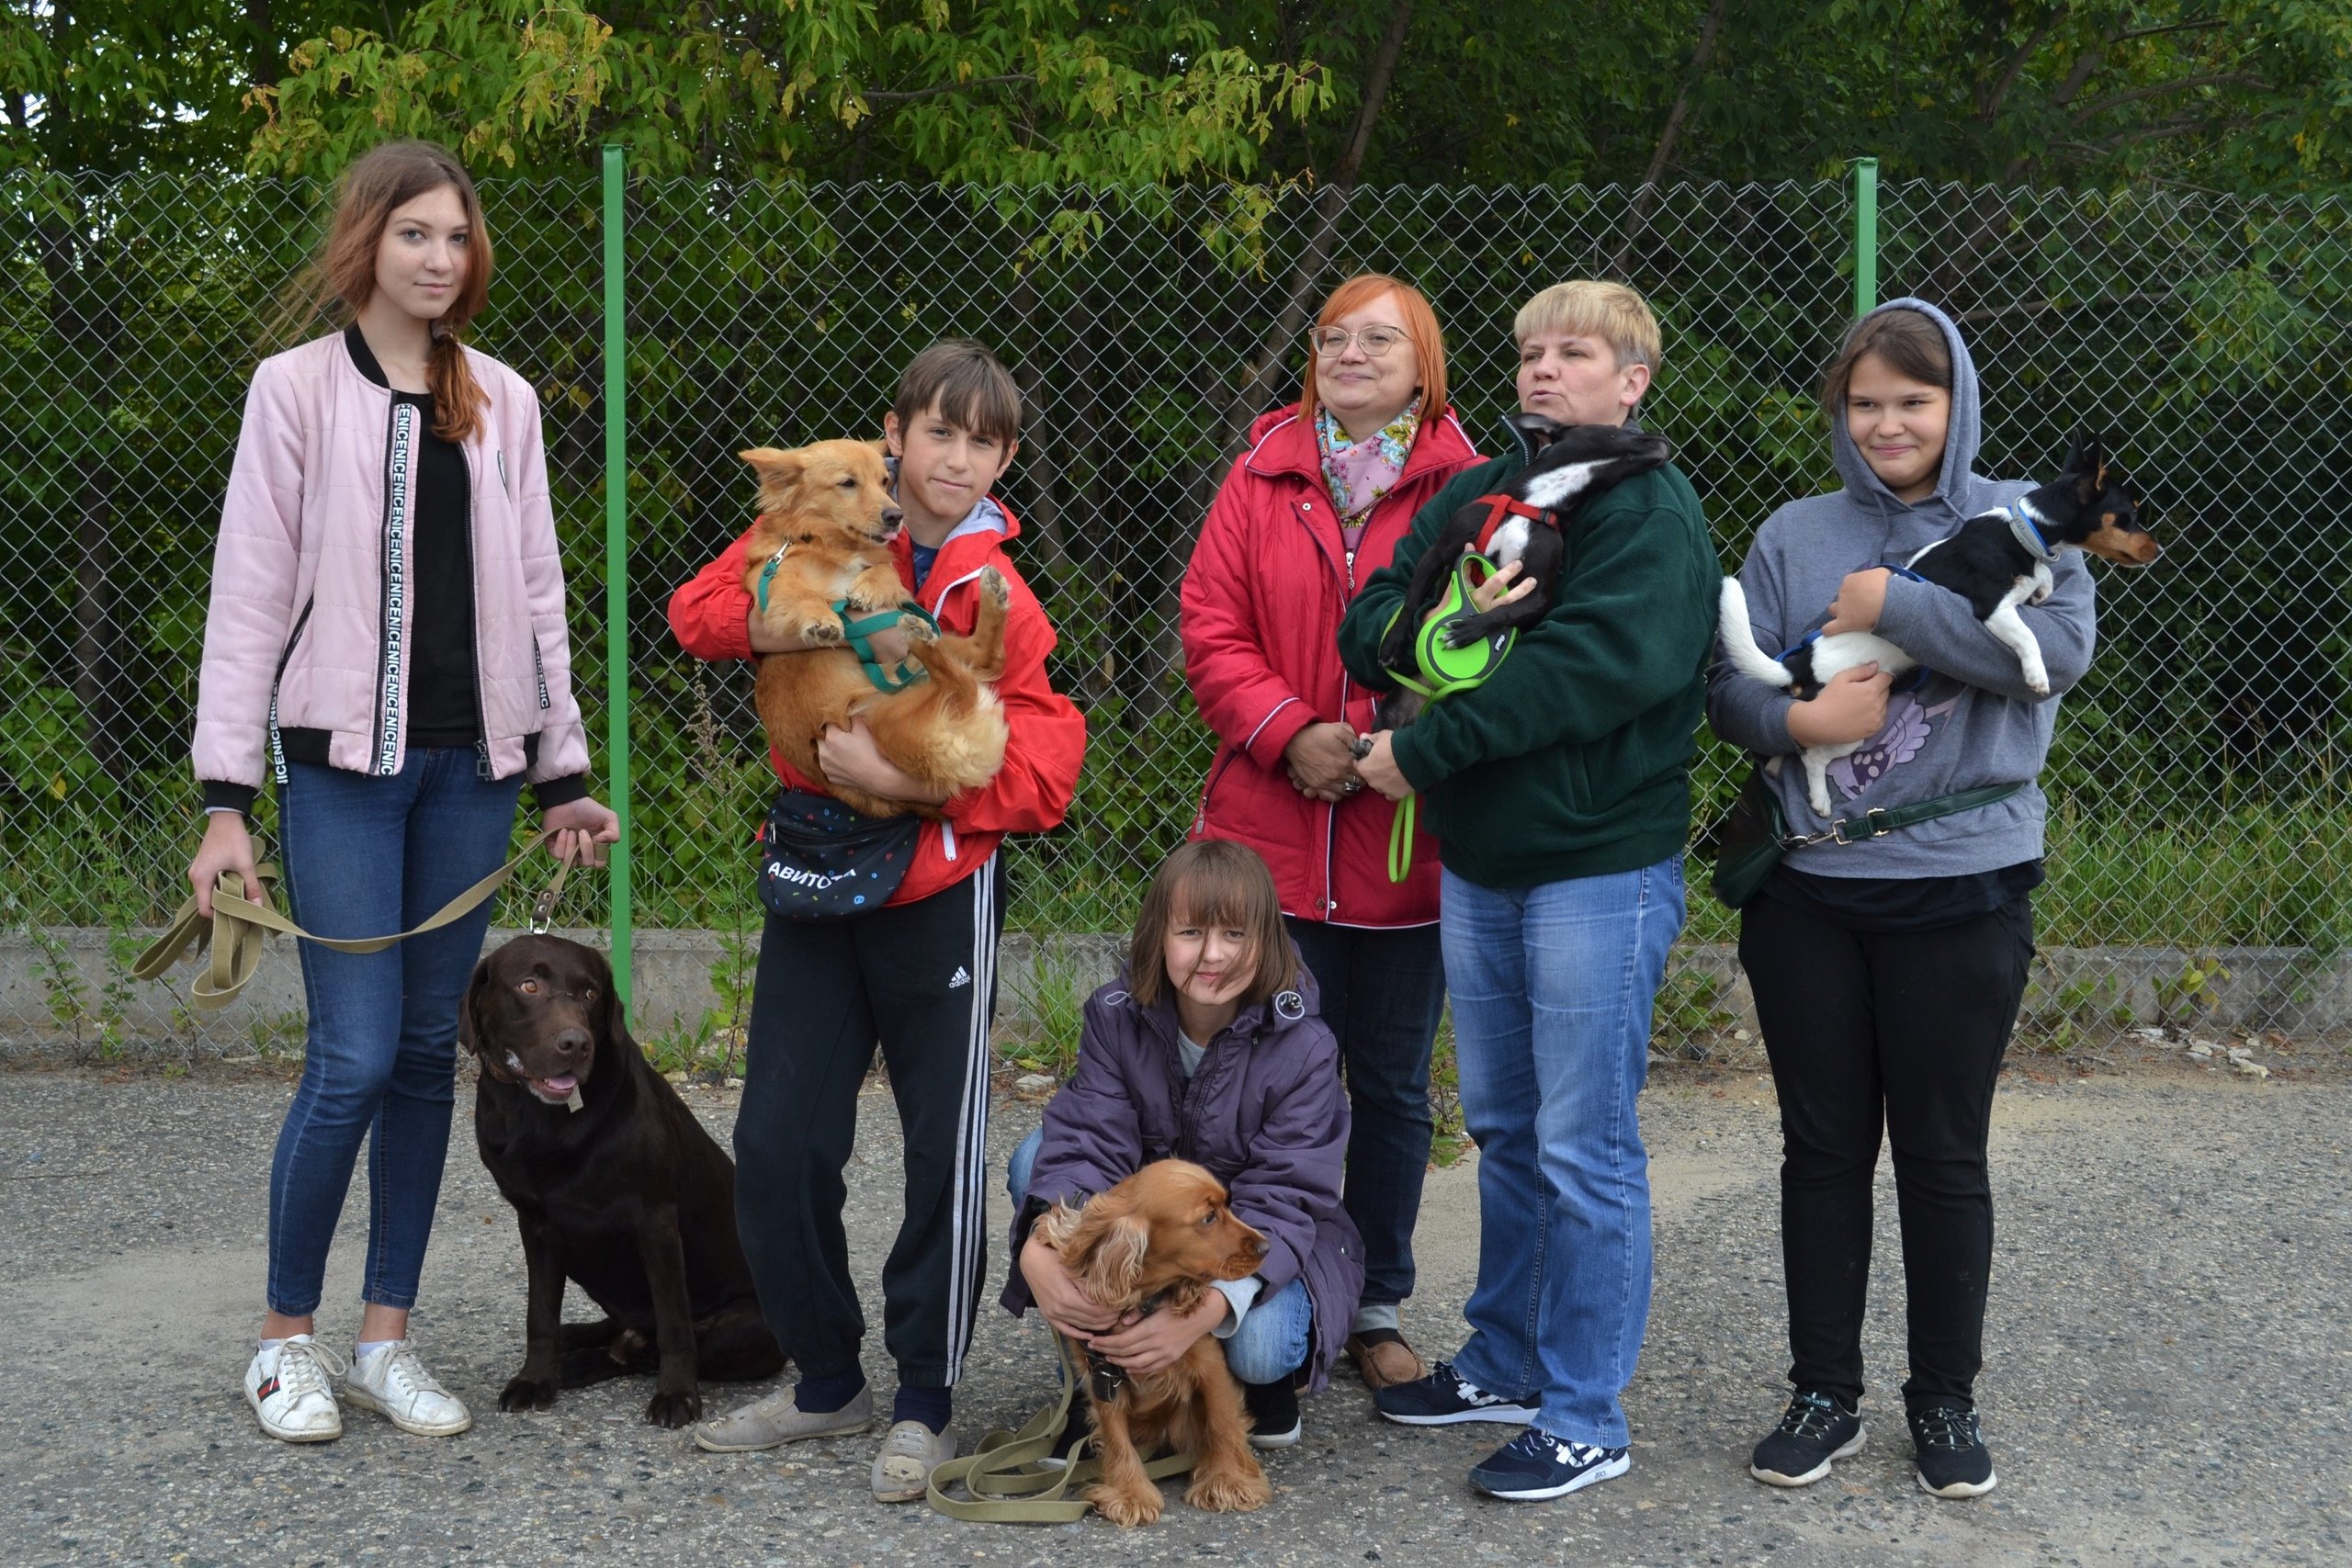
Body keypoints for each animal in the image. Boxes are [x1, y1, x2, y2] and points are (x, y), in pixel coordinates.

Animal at [738, 434, 1006, 818]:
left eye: (884, 482)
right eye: (847, 483)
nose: (896, 516)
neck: (832, 544)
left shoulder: (883, 576)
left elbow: (885, 570)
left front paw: (870, 587)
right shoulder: (770, 577)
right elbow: (795, 592)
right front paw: (821, 619)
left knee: (980, 665)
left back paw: (983, 601)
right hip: (892, 720)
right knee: (968, 680)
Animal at [1035, 1161, 1279, 1523]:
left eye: (1227, 1205)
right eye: (1209, 1217)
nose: (1266, 1247)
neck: (1143, 1299)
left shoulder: (1208, 1361)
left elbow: (1222, 1421)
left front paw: (1228, 1480)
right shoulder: (1102, 1374)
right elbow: (1116, 1435)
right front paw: (1130, 1494)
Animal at [1721, 432, 2154, 818]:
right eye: (2129, 516)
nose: (2159, 547)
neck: (2025, 528)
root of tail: (1803, 661)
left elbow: (2042, 576)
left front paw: (2042, 588)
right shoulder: (1993, 609)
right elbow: (2029, 636)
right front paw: (2037, 675)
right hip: (1844, 725)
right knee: (1813, 758)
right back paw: (1820, 799)